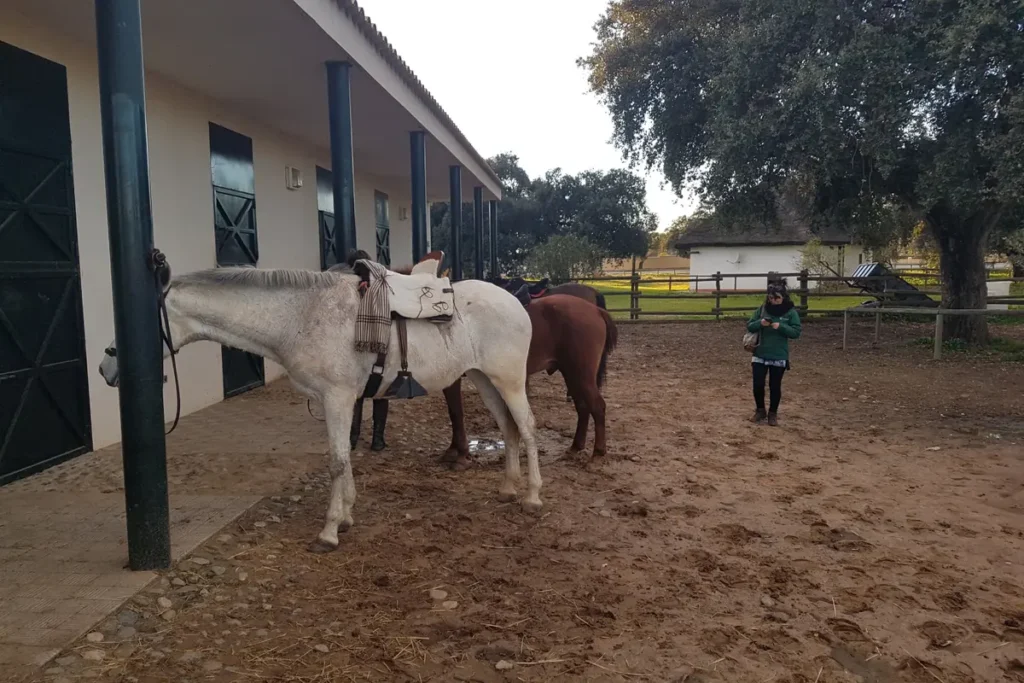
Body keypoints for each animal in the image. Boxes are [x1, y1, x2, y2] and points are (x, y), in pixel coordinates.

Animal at [97, 262, 544, 552]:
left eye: (136, 320)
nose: (105, 367)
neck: (301, 316)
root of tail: (515, 300)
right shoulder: (338, 401)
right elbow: (342, 458)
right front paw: (345, 516)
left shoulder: (338, 398)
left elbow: (336, 461)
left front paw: (328, 532)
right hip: (483, 379)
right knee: (508, 428)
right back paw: (508, 489)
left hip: (508, 380)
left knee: (527, 427)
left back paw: (533, 497)